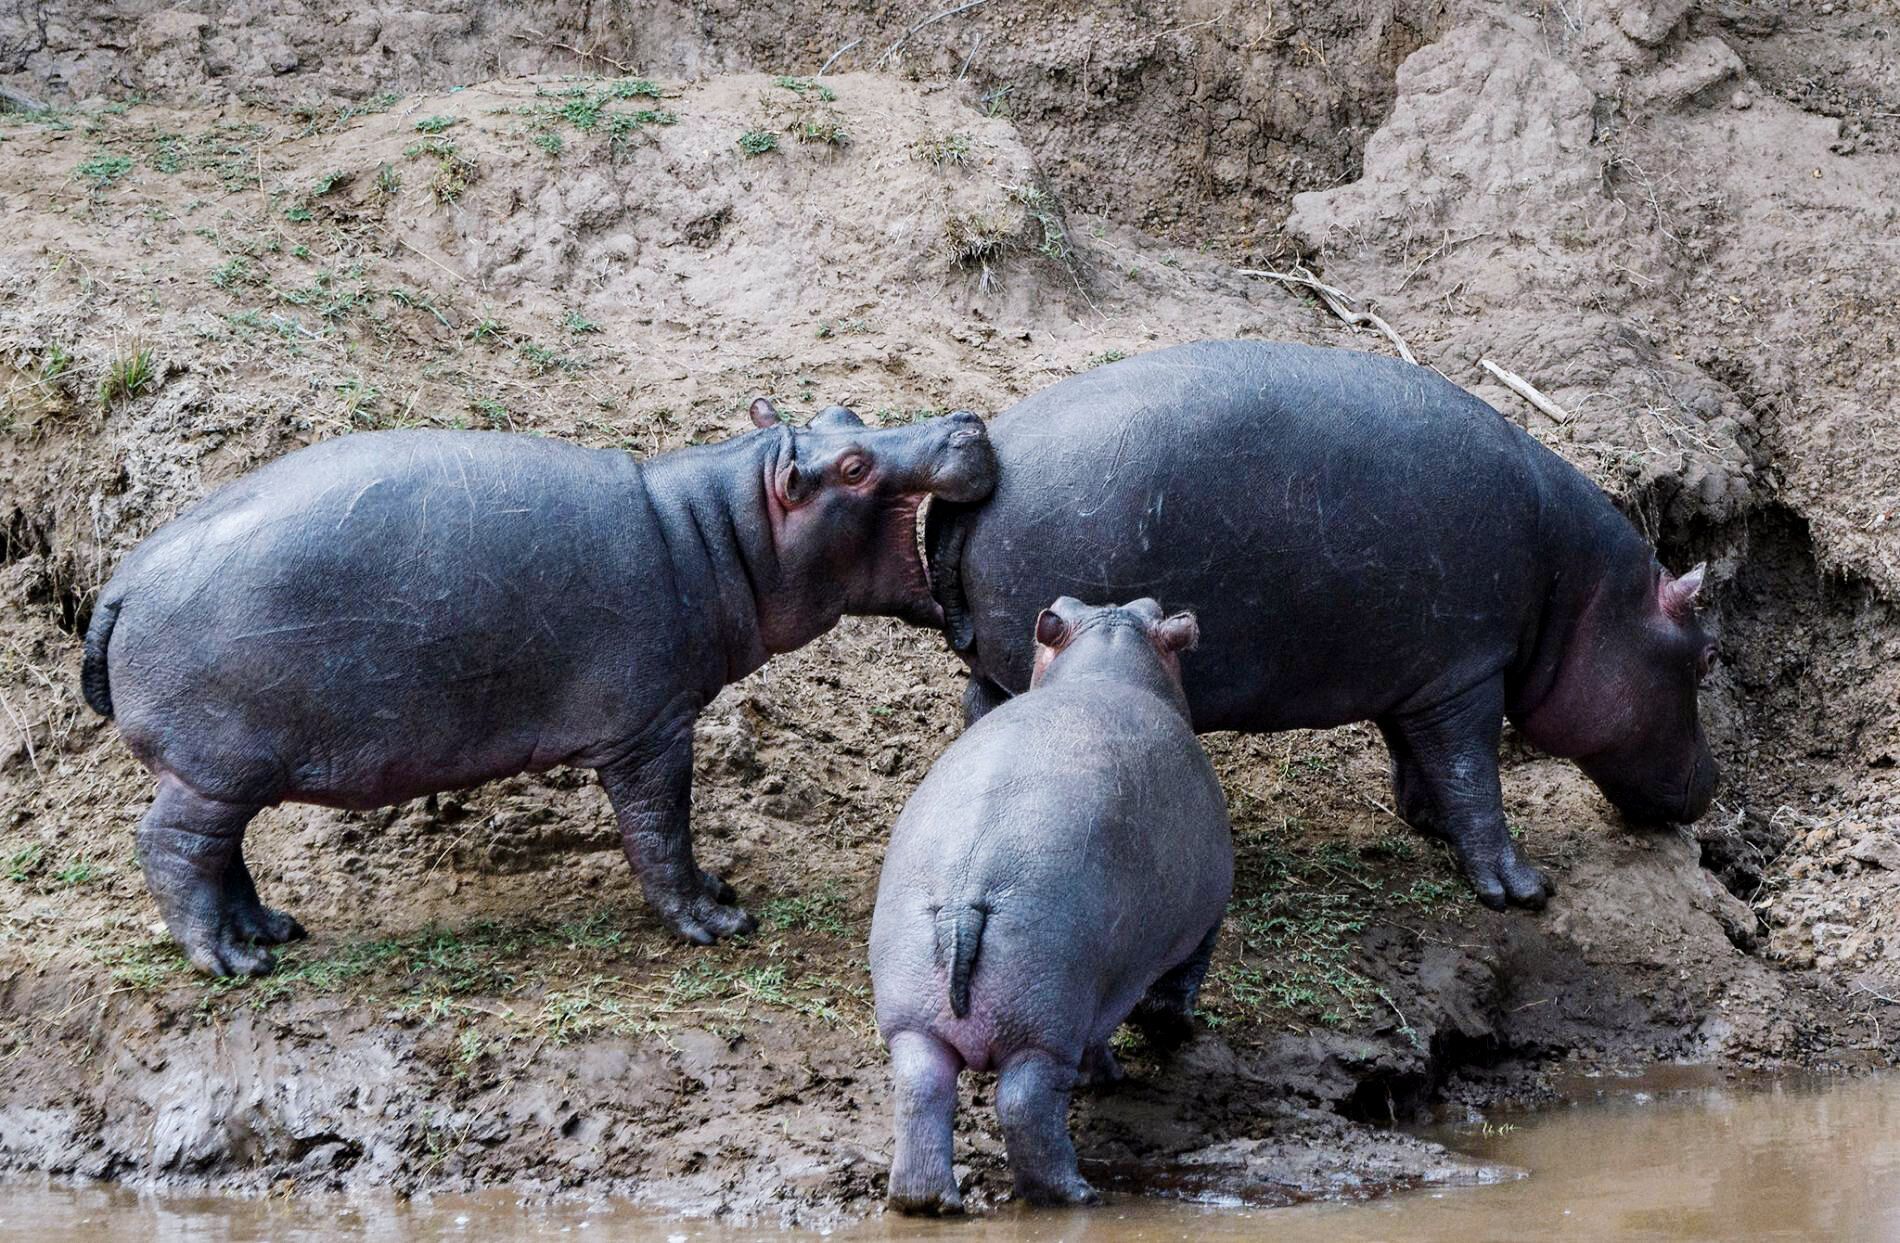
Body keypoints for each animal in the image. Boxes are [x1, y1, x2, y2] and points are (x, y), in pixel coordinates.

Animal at [81, 404, 1003, 980]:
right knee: (170, 846)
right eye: (853, 463)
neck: (722, 529)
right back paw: (230, 961)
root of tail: (120, 582)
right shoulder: (651, 728)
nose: (964, 420)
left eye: (847, 413)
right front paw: (715, 922)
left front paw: (721, 892)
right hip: (215, 765)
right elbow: (661, 827)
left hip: (227, 770)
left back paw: (268, 930)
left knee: (220, 851)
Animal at [870, 600, 1231, 1216]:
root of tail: (965, 892)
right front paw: (1163, 1041)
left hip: (917, 1022)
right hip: (1046, 1022)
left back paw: (927, 1202)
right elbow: (1171, 991)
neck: (1108, 659)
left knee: (921, 1093)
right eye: (1158, 614)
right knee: (1026, 1105)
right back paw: (1075, 1195)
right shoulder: (1198, 924)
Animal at [927, 345, 1732, 912]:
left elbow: (1419, 758)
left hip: (1004, 661)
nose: (1714, 781)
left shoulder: (1419, 674)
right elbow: (1475, 774)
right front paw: (1520, 889)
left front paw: (1429, 824)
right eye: (1703, 657)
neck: (1581, 590)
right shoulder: (1469, 672)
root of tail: (988, 467)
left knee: (979, 705)